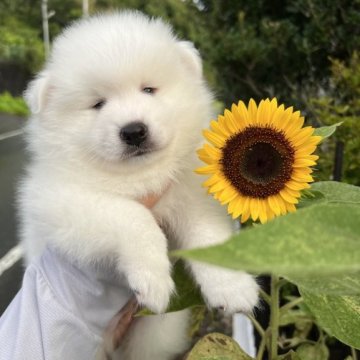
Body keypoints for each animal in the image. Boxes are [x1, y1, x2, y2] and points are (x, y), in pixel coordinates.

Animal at [19, 11, 258, 360]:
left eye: (148, 90)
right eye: (98, 104)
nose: (133, 131)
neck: (140, 176)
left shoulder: (192, 196)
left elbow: (208, 235)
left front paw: (233, 285)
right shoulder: (60, 199)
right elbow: (133, 216)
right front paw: (153, 277)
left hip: (152, 335)